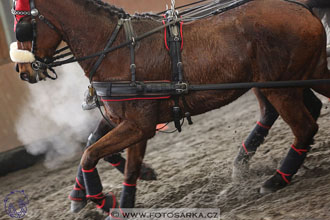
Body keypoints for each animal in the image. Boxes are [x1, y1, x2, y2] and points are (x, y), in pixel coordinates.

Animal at [10, 0, 330, 217]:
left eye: (24, 25)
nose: (23, 71)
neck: (117, 49)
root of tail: (299, 6)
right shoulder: (126, 120)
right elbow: (106, 153)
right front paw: (119, 196)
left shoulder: (139, 125)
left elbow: (90, 153)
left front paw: (103, 200)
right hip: (305, 74)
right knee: (303, 112)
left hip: (279, 87)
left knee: (304, 127)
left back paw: (275, 179)